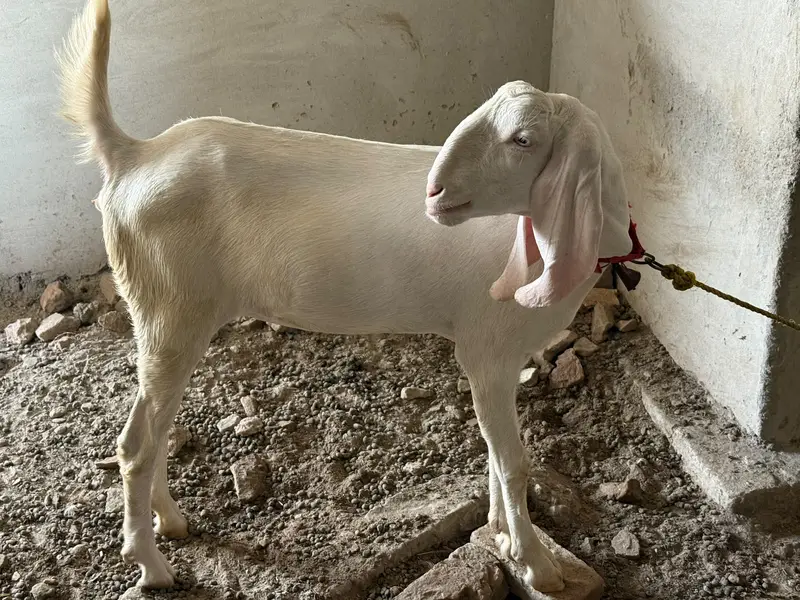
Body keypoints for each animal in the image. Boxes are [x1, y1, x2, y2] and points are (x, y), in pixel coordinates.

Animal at [56, 0, 634, 593]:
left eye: (523, 139)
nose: (434, 191)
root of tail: (133, 156)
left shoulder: (501, 360)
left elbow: (497, 459)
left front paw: (502, 535)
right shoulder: (487, 352)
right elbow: (514, 464)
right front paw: (538, 565)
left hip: (171, 318)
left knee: (153, 431)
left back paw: (171, 522)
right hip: (169, 313)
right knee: (136, 446)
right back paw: (151, 565)